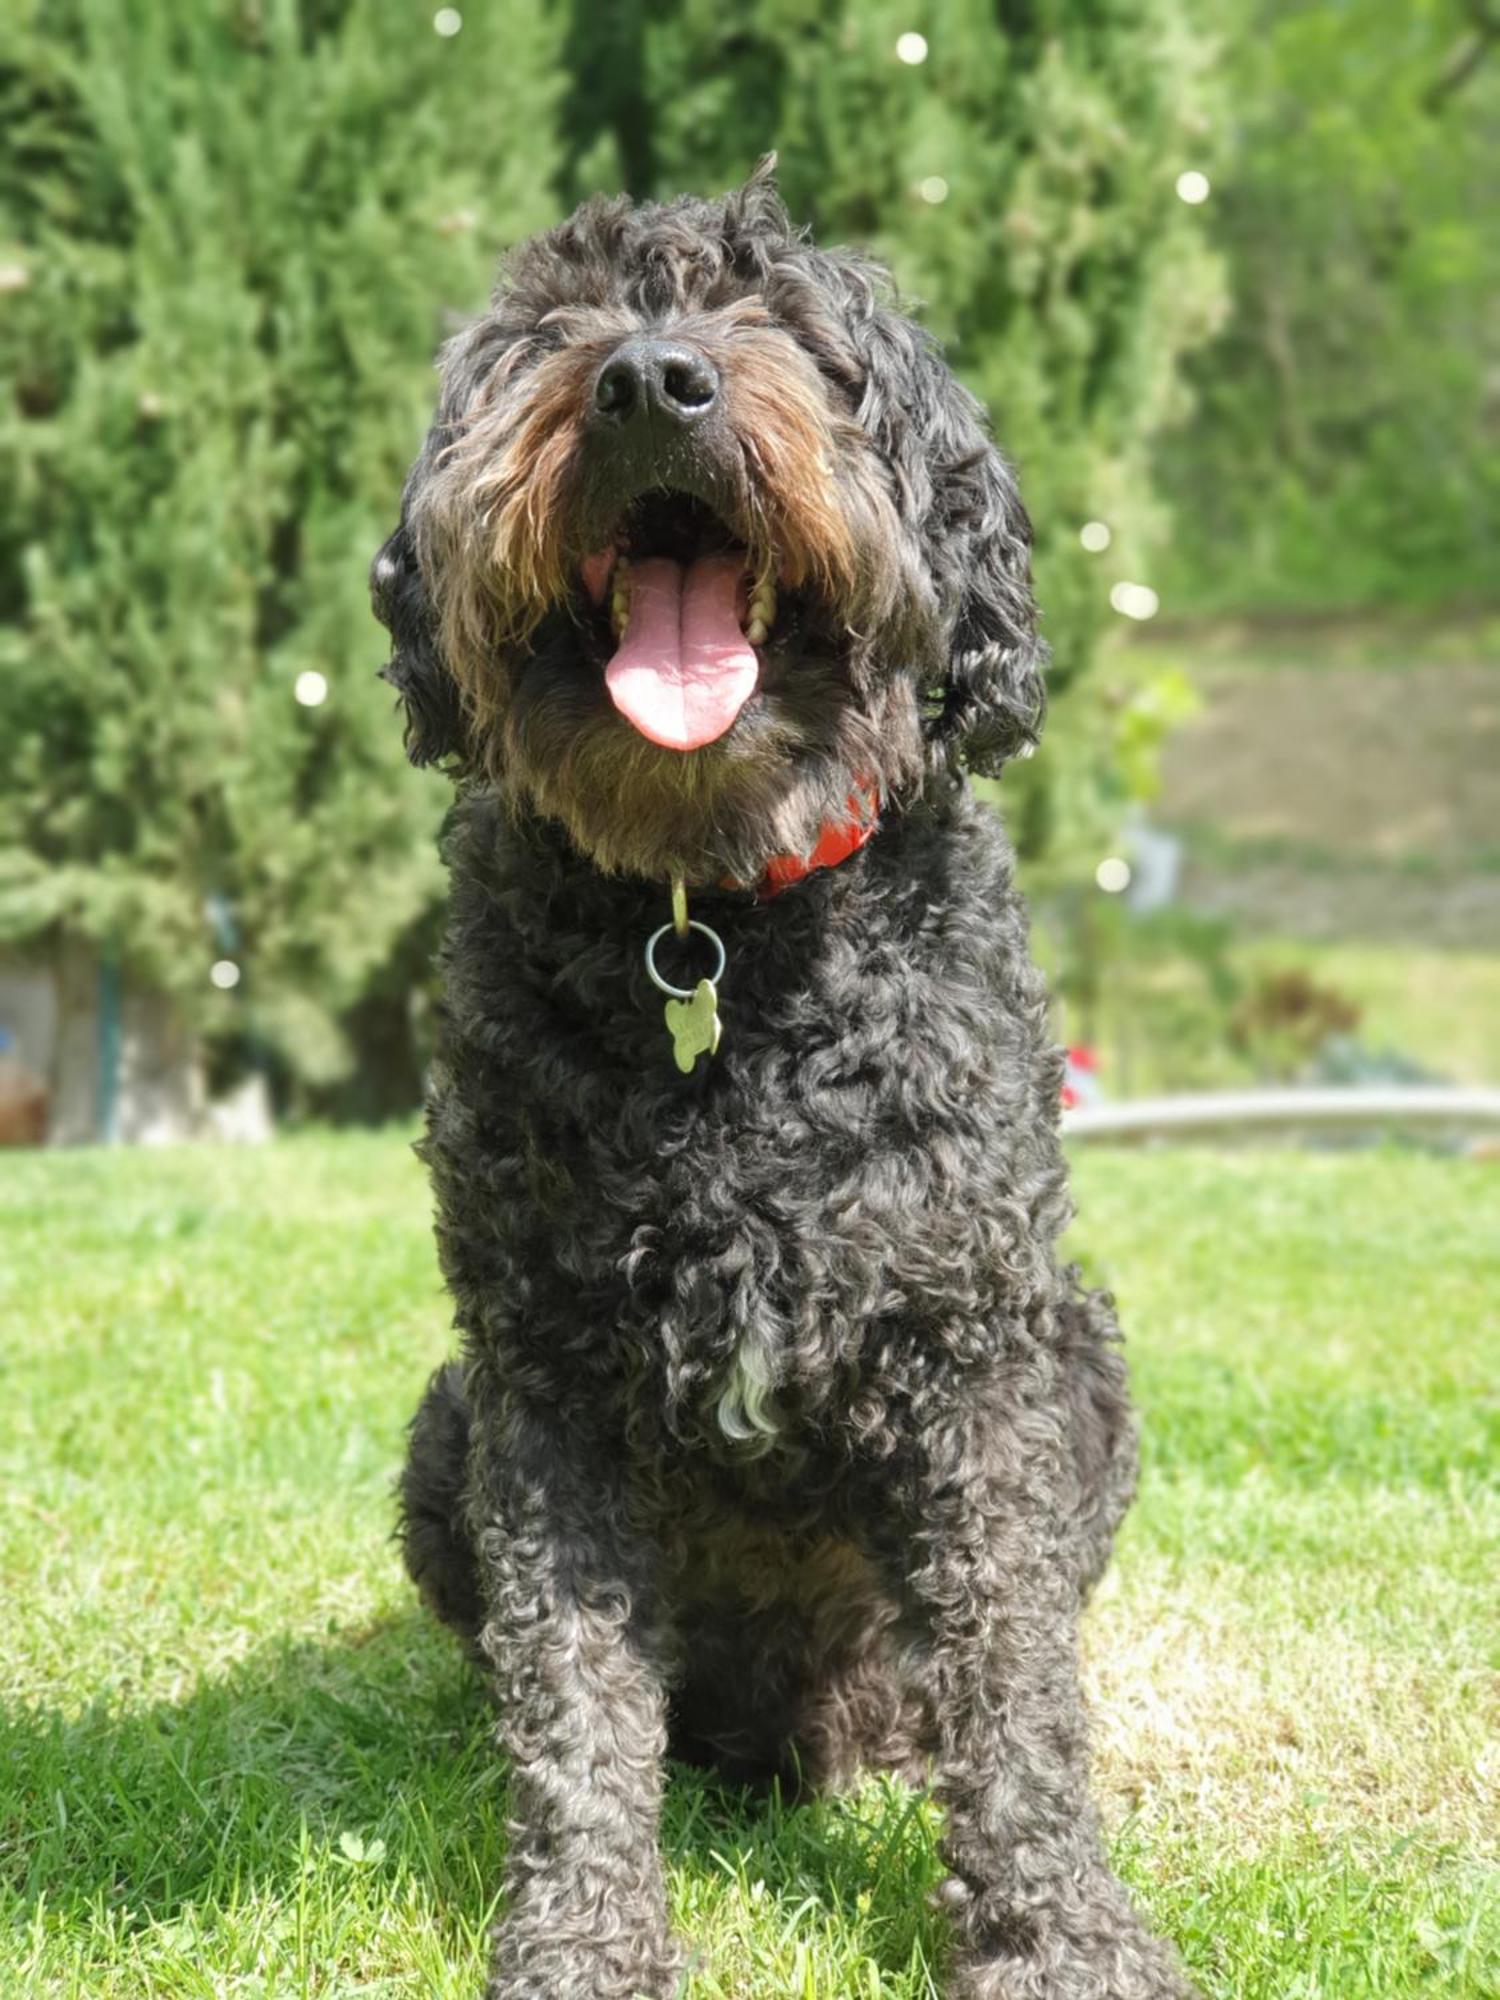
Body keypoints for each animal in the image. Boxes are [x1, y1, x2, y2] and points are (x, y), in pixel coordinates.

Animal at [376, 160, 1200, 2000]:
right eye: (559, 324)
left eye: (791, 326)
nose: (649, 381)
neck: (719, 928)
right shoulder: (543, 1384)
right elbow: (574, 1699)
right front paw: (580, 1937)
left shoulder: (976, 1358)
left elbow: (1018, 1683)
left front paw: (1057, 1932)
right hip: (444, 1424)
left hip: (1087, 1359)